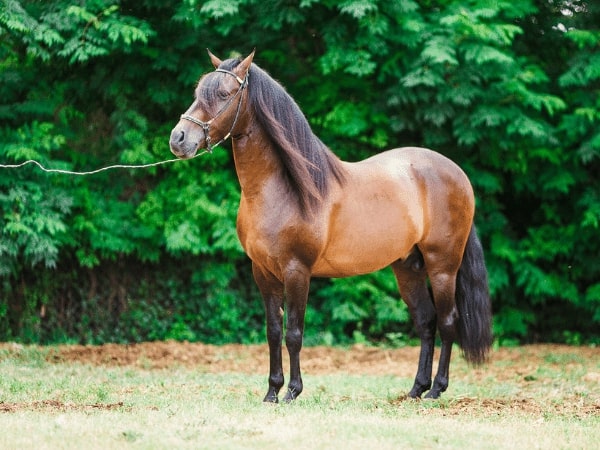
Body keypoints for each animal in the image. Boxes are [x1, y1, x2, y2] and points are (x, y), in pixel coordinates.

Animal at [169, 50, 492, 400]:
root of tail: (457, 173)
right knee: (426, 322)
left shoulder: (297, 271)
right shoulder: (263, 272)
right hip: (408, 267)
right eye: (198, 92)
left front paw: (292, 392)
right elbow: (273, 331)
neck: (282, 190)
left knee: (447, 321)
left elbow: (294, 333)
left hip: (443, 266)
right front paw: (272, 392)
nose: (178, 139)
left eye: (224, 94)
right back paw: (416, 389)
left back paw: (436, 390)